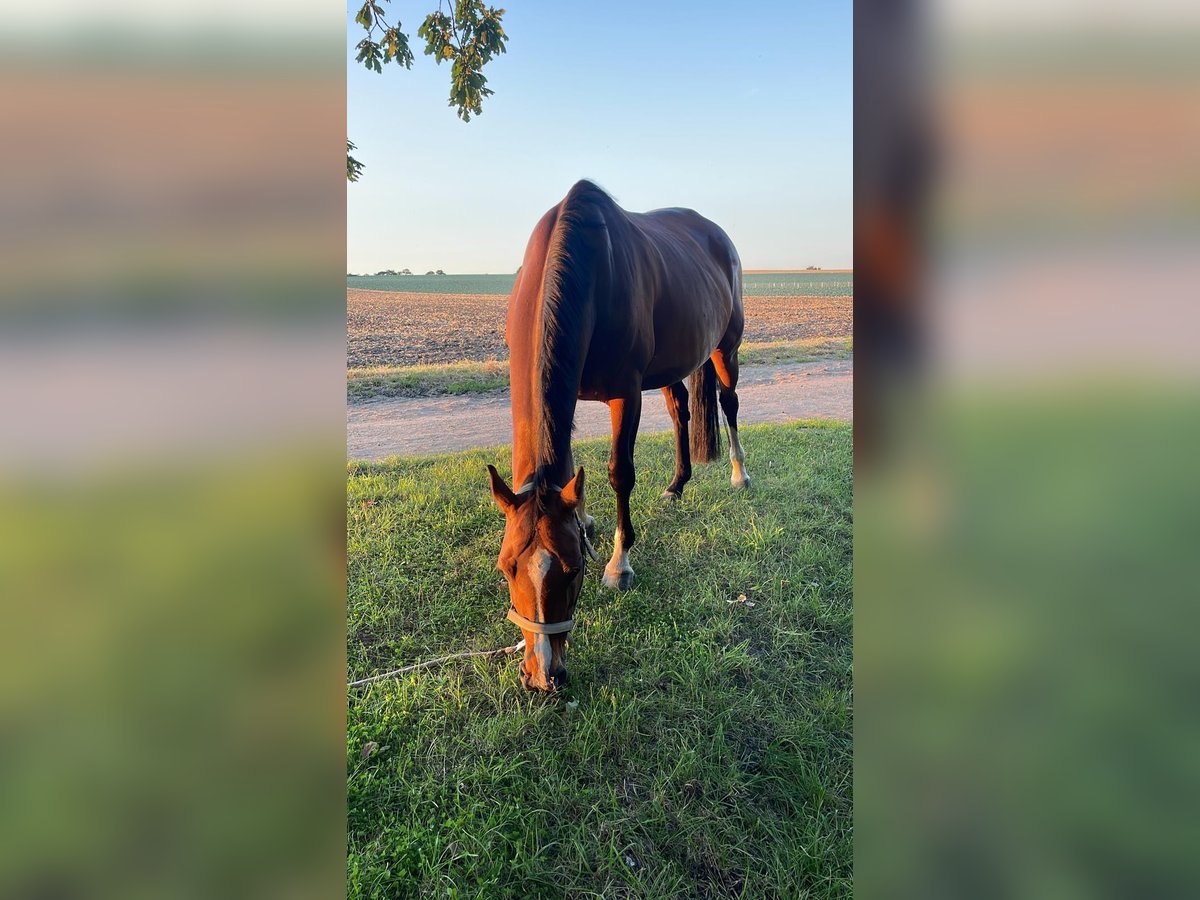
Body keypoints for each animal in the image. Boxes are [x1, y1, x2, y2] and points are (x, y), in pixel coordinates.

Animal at [487, 180, 748, 696]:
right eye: (507, 567)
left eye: (574, 569)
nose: (542, 674)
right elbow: (568, 468)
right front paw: (587, 520)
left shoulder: (625, 393)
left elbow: (618, 473)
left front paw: (618, 563)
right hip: (672, 364)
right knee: (680, 412)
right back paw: (677, 484)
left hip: (725, 346)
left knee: (728, 404)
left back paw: (738, 473)